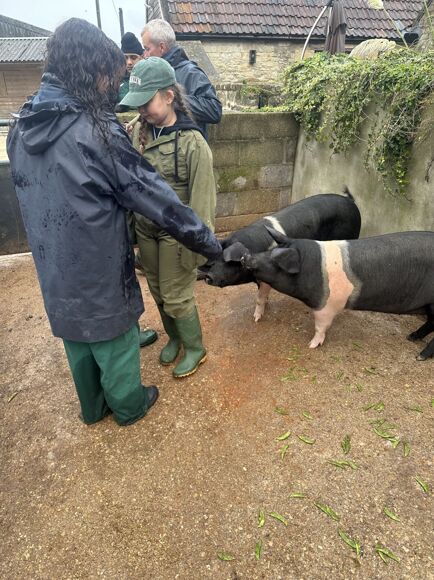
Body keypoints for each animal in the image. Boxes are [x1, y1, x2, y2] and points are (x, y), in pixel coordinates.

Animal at [201, 191, 361, 321]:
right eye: (215, 259)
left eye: (229, 261)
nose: (209, 276)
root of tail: (351, 202)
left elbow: (259, 297)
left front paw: (256, 318)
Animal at [226, 228, 434, 360]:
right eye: (268, 250)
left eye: (275, 260)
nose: (245, 256)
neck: (311, 269)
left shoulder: (327, 305)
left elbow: (320, 327)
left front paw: (311, 345)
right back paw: (411, 337)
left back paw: (419, 356)